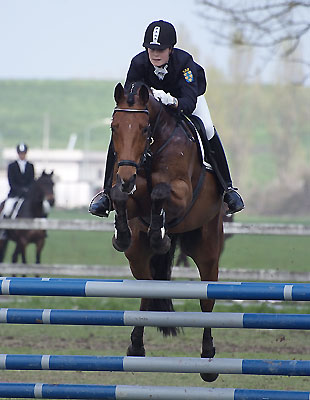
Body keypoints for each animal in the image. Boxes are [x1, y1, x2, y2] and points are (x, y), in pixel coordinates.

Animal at [108, 83, 223, 382]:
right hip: (137, 257)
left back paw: (208, 358)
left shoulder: (182, 193)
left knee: (208, 301)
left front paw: (159, 231)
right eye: (114, 127)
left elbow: (160, 191)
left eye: (144, 128)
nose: (126, 176)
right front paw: (123, 234)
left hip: (208, 250)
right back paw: (136, 347)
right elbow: (119, 196)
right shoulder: (128, 193)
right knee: (148, 290)